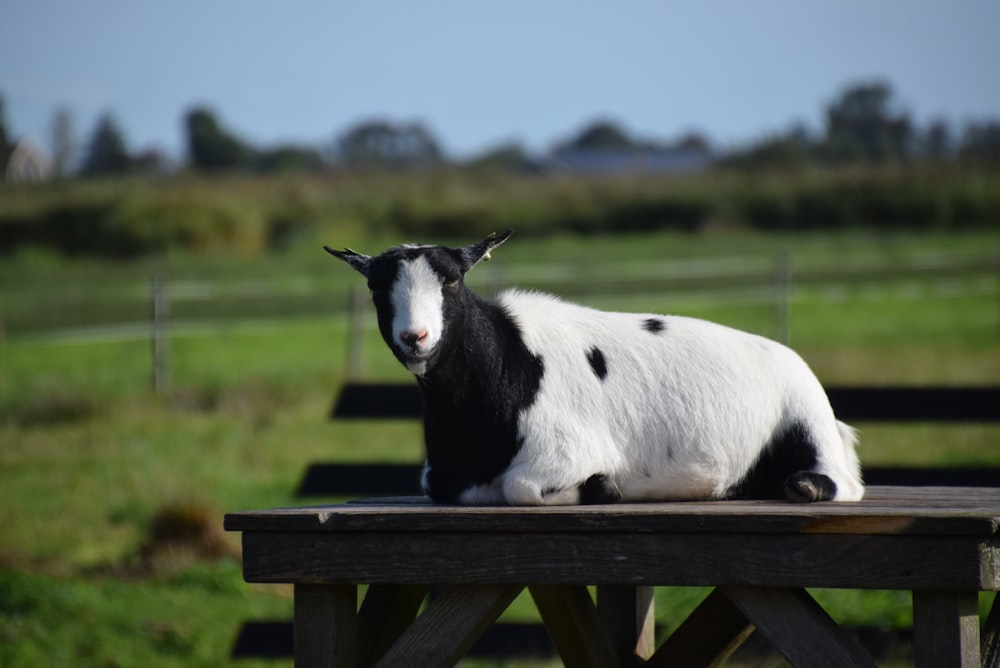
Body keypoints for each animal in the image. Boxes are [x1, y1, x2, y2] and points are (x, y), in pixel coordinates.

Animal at [324, 231, 864, 506]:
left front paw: (600, 486)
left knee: (843, 483)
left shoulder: (563, 450)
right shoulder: (441, 477)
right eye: (376, 287)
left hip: (807, 424)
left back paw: (805, 486)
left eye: (453, 282)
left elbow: (522, 487)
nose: (415, 338)